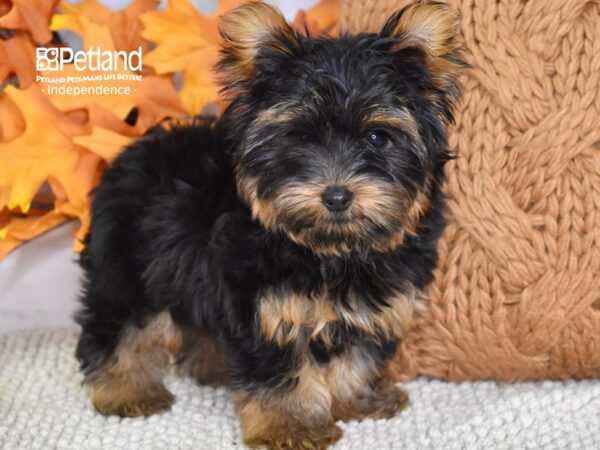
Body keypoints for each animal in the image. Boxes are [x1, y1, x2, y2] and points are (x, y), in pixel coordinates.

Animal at [75, 1, 466, 448]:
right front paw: (290, 426)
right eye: (299, 137)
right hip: (128, 267)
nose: (336, 196)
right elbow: (277, 370)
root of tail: (129, 153)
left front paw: (355, 400)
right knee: (116, 326)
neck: (331, 250)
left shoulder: (375, 304)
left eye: (377, 138)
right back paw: (126, 389)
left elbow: (357, 356)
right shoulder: (262, 304)